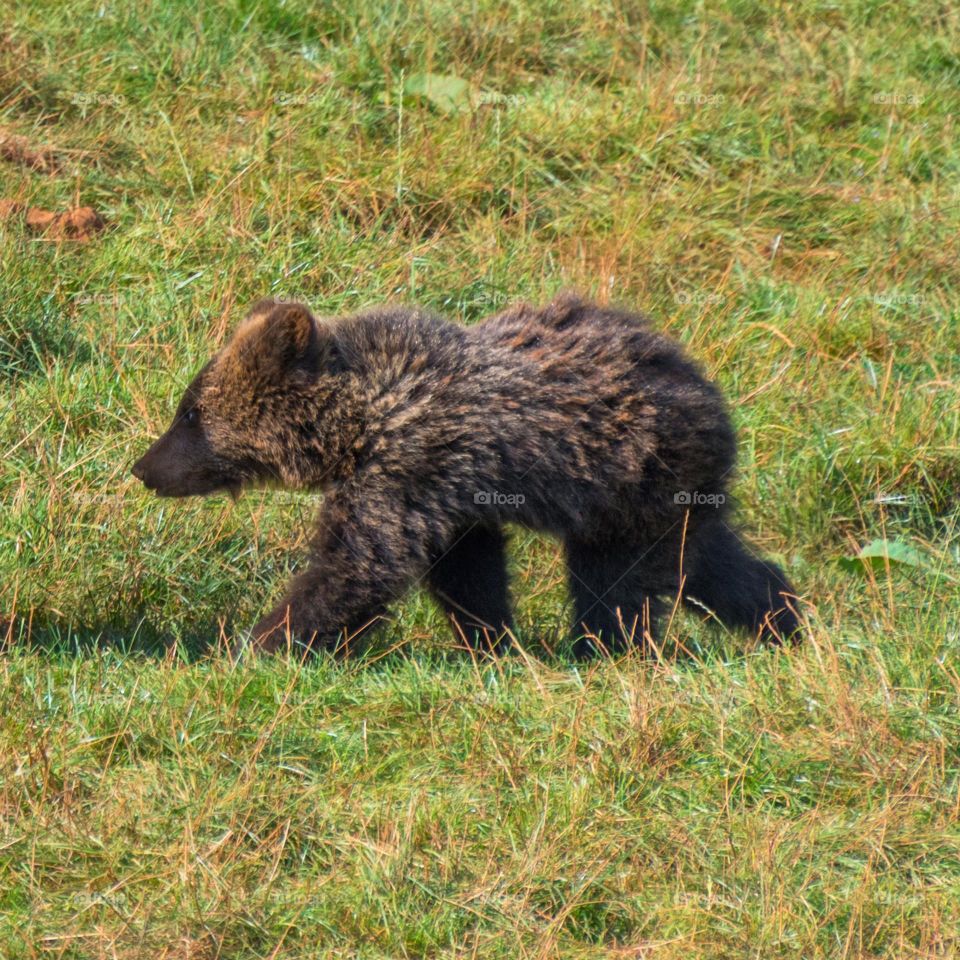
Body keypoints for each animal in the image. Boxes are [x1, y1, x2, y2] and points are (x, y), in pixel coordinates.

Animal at [131, 293, 801, 657]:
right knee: (709, 564)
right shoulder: (446, 494)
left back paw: (606, 650)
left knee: (614, 586)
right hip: (665, 499)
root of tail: (706, 389)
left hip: (633, 480)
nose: (143, 468)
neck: (361, 419)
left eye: (190, 413)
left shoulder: (406, 469)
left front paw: (257, 643)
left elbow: (359, 566)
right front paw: (490, 642)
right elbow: (466, 570)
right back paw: (784, 619)